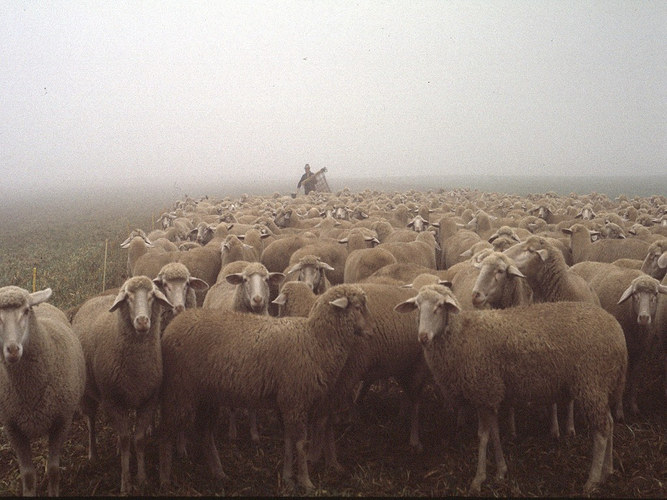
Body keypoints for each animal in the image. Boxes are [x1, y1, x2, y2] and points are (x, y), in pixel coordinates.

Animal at [0, 286, 86, 496]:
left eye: (26, 311)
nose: (12, 350)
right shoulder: (12, 428)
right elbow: (28, 476)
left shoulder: (62, 422)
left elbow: (53, 470)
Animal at [71, 276, 174, 494]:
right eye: (127, 297)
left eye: (152, 295)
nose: (142, 321)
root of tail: (95, 298)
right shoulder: (113, 401)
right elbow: (127, 440)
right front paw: (126, 483)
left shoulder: (148, 401)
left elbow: (139, 439)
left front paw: (142, 479)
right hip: (89, 393)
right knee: (91, 422)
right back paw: (93, 455)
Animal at [157, 284, 376, 490]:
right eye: (358, 307)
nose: (373, 331)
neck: (314, 340)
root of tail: (172, 327)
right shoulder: (296, 400)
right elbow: (301, 444)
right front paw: (306, 482)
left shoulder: (287, 402)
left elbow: (288, 441)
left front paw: (288, 478)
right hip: (180, 389)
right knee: (167, 431)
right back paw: (165, 477)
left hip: (206, 395)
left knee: (204, 433)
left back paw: (218, 472)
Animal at [394, 286, 628, 496]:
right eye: (417, 306)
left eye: (440, 306)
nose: (423, 337)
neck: (462, 335)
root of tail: (617, 331)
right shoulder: (491, 393)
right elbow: (495, 433)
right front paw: (501, 471)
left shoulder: (484, 389)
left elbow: (483, 436)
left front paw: (478, 480)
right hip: (601, 384)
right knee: (609, 423)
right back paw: (607, 470)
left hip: (591, 381)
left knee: (600, 431)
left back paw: (592, 480)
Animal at [568, 262, 667, 418]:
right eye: (635, 295)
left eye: (655, 295)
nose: (644, 318)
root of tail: (576, 265)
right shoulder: (623, 351)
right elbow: (623, 379)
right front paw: (619, 410)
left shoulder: (642, 351)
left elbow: (635, 378)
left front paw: (633, 406)